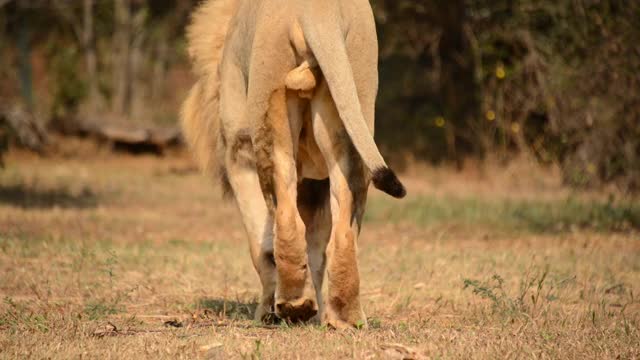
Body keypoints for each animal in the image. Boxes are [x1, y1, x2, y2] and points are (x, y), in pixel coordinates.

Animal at [180, 0, 408, 328]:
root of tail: (318, 12)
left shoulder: (238, 151)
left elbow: (262, 246)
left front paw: (267, 312)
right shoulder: (315, 184)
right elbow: (315, 249)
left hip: (270, 111)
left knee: (285, 217)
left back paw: (293, 303)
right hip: (353, 108)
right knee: (343, 230)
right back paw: (344, 317)